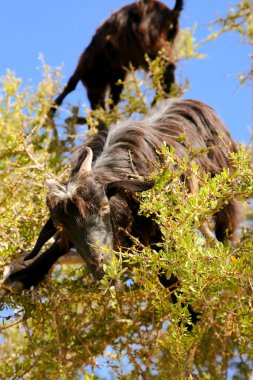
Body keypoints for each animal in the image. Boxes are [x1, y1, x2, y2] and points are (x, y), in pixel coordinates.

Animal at [1, 97, 239, 300]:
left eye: (104, 207)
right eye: (61, 226)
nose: (101, 267)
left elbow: (168, 274)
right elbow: (59, 245)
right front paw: (24, 275)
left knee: (228, 221)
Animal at [50, 0, 183, 116]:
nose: (96, 108)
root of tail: (170, 13)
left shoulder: (86, 61)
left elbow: (71, 83)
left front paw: (52, 109)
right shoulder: (117, 73)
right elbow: (114, 96)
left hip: (151, 45)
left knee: (165, 69)